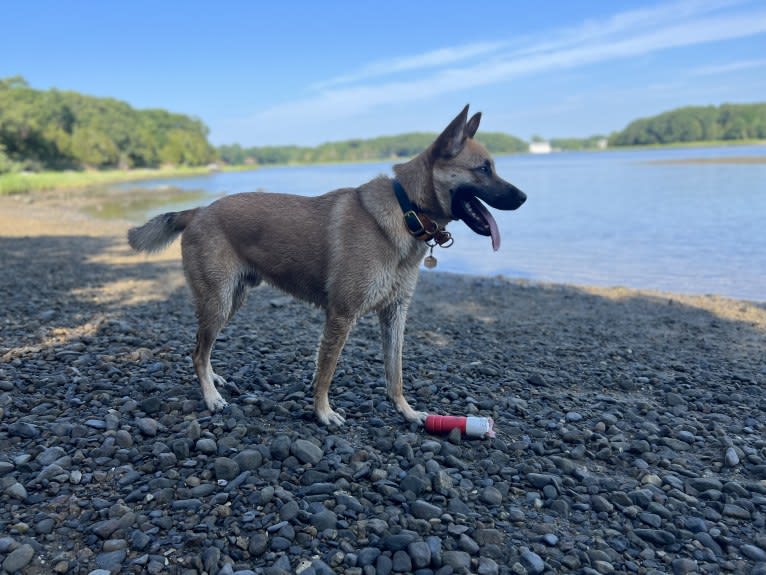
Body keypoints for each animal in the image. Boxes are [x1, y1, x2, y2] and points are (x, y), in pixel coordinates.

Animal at [130, 104, 528, 428]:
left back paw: (214, 382)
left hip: (232, 300)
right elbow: (326, 371)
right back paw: (211, 398)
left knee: (203, 349)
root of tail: (198, 211)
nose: (524, 197)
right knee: (198, 352)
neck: (407, 212)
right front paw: (322, 412)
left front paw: (407, 411)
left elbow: (395, 373)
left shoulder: (395, 313)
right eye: (483, 169)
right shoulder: (341, 315)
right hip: (218, 301)